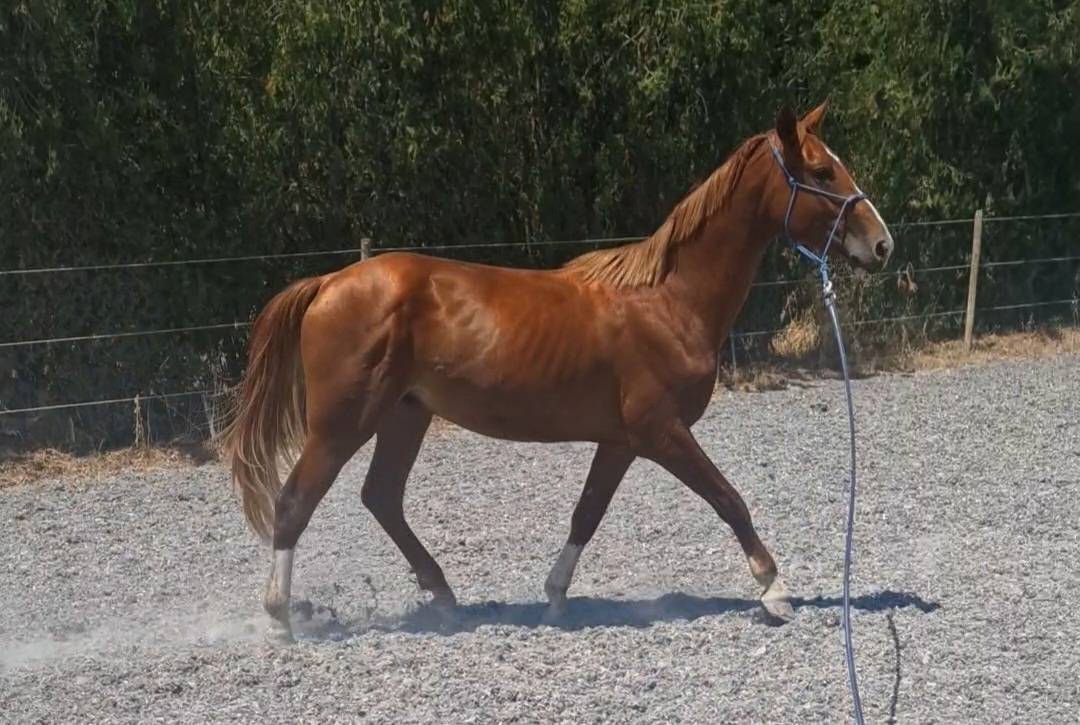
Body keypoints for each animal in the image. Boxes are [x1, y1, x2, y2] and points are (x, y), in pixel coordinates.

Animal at [221, 100, 894, 643]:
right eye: (822, 173)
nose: (883, 244)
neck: (668, 301)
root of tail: (330, 281)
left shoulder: (622, 441)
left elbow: (586, 514)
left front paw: (554, 598)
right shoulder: (662, 432)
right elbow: (729, 498)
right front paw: (774, 590)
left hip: (406, 415)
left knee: (381, 497)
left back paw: (444, 596)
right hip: (344, 421)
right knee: (294, 501)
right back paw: (280, 621)